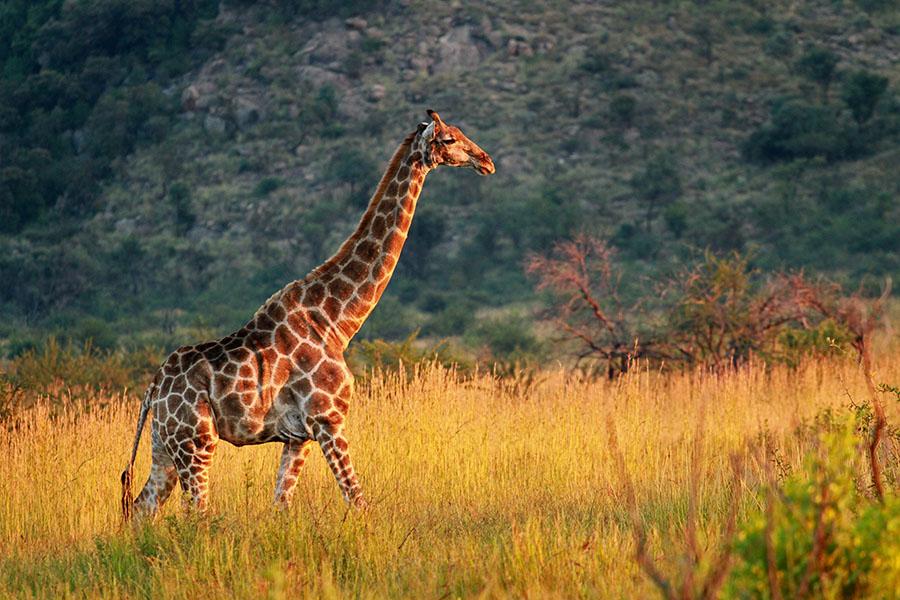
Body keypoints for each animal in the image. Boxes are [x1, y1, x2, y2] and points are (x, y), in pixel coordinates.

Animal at [121, 110, 495, 519]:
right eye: (448, 139)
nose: (486, 160)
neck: (335, 320)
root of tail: (154, 388)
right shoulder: (328, 418)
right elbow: (357, 500)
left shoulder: (299, 436)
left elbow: (281, 504)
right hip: (196, 441)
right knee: (195, 513)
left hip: (164, 446)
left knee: (140, 507)